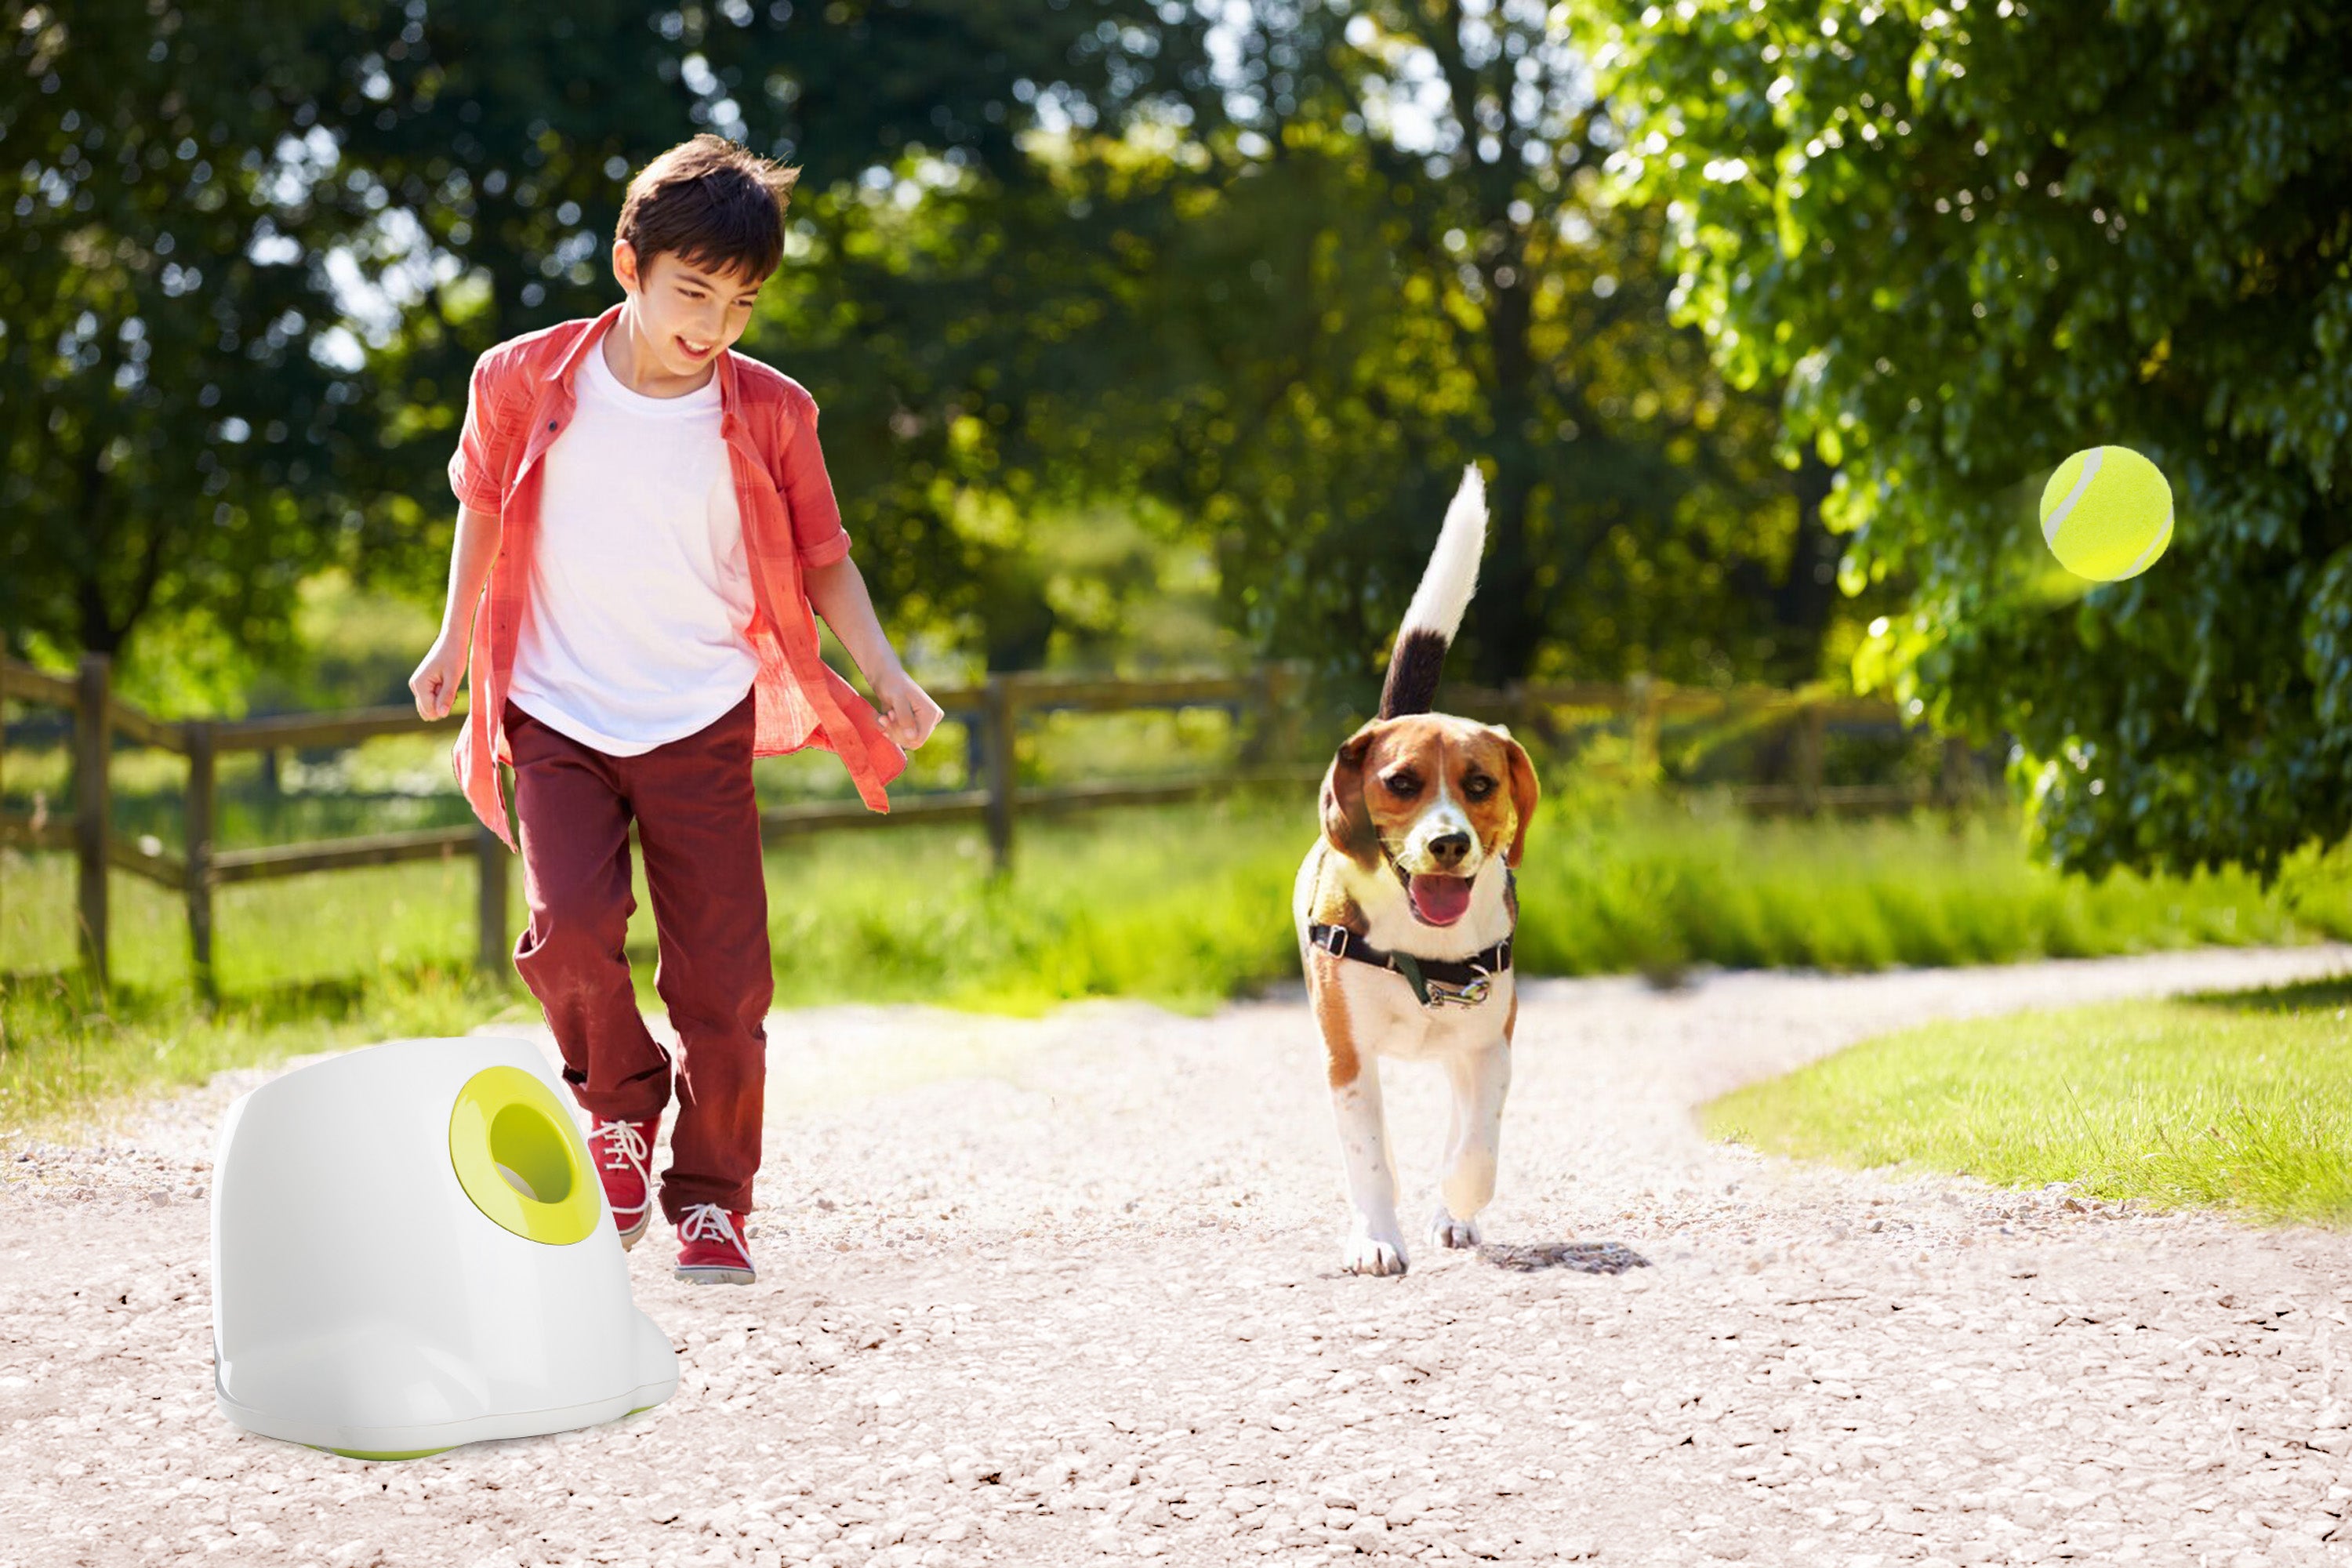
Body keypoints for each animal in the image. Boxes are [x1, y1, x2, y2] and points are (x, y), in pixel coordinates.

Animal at [1298, 465, 1534, 1279]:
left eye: (1480, 784)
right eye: (1401, 783)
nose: (1448, 845)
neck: (1422, 948)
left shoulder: (1490, 1044)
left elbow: (1477, 1146)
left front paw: (1457, 1204)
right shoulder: (1346, 1057)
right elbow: (1370, 1159)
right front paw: (1375, 1238)